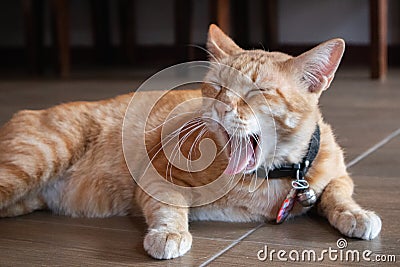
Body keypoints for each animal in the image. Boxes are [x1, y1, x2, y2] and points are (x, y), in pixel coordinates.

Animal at [0, 25, 382, 260]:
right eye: (216, 87)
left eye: (257, 91)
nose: (221, 106)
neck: (267, 178)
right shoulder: (156, 174)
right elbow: (169, 206)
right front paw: (169, 234)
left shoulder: (337, 175)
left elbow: (337, 194)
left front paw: (355, 213)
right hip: (32, 162)